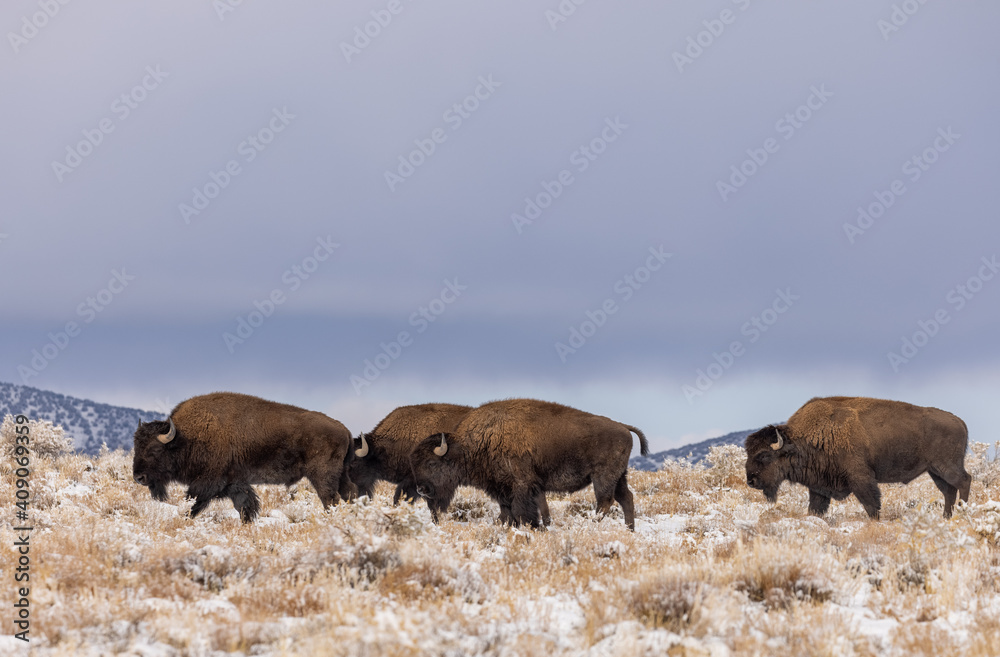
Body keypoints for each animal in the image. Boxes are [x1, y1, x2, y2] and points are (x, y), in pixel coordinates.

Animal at [132, 392, 356, 523]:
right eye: (136, 446)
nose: (139, 477)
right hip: (342, 474)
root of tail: (344, 429)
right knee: (349, 493)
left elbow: (192, 503)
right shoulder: (235, 483)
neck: (185, 437)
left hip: (322, 475)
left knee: (330, 499)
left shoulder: (206, 483)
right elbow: (245, 505)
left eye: (155, 450)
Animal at [409, 398, 649, 530]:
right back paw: (630, 530)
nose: (421, 489)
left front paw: (533, 527)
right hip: (620, 476)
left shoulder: (522, 485)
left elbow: (522, 511)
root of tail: (623, 426)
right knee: (626, 498)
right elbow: (509, 512)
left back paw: (592, 526)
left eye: (431, 463)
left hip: (603, 477)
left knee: (605, 501)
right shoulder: (503, 488)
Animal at [744, 396, 971, 519]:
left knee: (964, 481)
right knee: (949, 491)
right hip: (934, 471)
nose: (751, 481)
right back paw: (946, 517)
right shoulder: (819, 487)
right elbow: (815, 508)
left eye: (764, 455)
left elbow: (872, 505)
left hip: (946, 466)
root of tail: (960, 422)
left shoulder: (860, 478)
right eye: (748, 452)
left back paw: (963, 512)